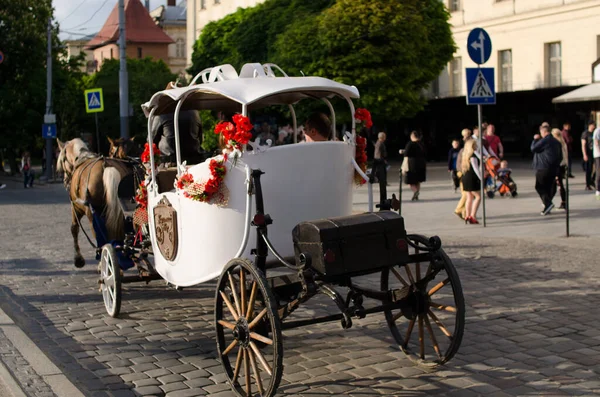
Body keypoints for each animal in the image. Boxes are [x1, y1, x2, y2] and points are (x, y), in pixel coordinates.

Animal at [57, 138, 135, 268]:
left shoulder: (76, 208)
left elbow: (74, 229)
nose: (64, 180)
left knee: (100, 236)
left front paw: (78, 259)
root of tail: (106, 167)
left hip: (91, 213)